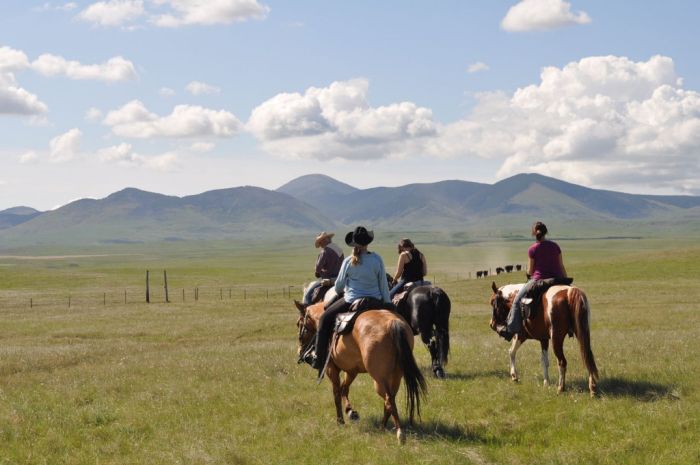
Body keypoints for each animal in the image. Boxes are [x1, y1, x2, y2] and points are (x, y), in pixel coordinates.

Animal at [294, 300, 426, 444]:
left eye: (299, 323)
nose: (300, 351)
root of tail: (393, 323)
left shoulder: (331, 369)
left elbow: (336, 393)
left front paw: (340, 421)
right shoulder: (352, 370)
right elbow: (344, 389)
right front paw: (350, 412)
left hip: (379, 379)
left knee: (389, 400)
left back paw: (399, 433)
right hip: (396, 376)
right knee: (389, 400)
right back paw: (382, 427)